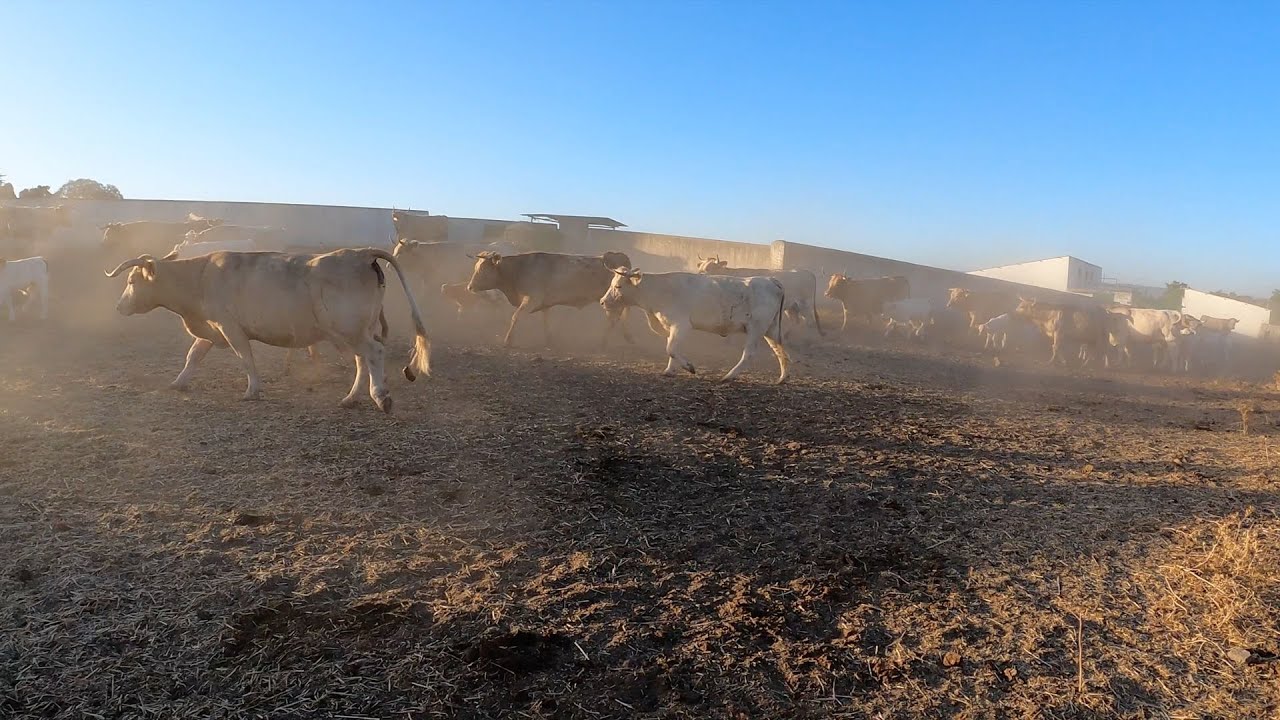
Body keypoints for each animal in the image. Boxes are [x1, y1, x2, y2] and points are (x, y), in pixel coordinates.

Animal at [104, 248, 431, 413]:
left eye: (132, 281)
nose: (118, 307)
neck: (200, 276)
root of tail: (359, 254)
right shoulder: (212, 327)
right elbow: (194, 355)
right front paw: (178, 382)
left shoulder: (230, 327)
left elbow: (246, 359)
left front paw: (252, 390)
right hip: (352, 331)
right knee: (363, 360)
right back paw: (351, 398)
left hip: (347, 329)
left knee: (374, 353)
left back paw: (380, 396)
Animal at [465, 251, 635, 348]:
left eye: (483, 270)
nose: (470, 287)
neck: (519, 269)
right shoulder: (543, 302)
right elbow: (545, 319)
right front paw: (549, 339)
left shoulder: (532, 299)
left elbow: (516, 316)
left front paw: (508, 340)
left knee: (614, 319)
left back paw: (605, 340)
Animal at [600, 268, 789, 383]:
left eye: (618, 286)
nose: (602, 301)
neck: (660, 291)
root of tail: (770, 280)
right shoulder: (671, 327)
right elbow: (672, 348)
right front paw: (669, 370)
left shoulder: (681, 325)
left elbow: (671, 348)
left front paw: (689, 367)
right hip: (770, 329)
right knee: (780, 350)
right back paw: (783, 377)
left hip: (756, 328)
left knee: (749, 353)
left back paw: (728, 376)